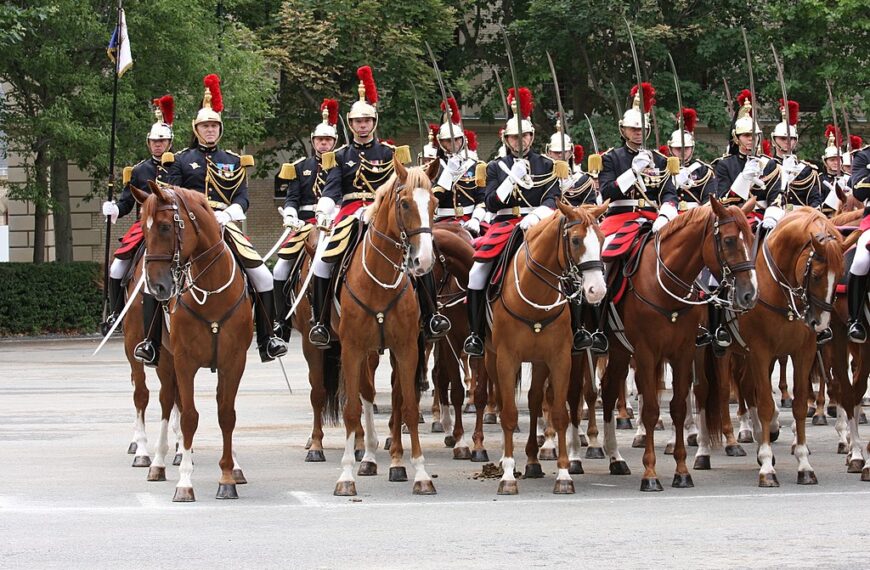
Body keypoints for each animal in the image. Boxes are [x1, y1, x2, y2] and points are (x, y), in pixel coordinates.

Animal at [131, 180, 252, 500]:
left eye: (164, 227)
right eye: (143, 229)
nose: (157, 286)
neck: (212, 292)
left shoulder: (233, 362)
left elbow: (227, 414)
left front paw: (228, 476)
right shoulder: (184, 361)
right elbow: (188, 417)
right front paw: (185, 481)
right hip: (161, 357)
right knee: (161, 400)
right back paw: (156, 461)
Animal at [330, 155, 440, 492]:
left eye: (434, 203)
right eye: (404, 204)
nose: (423, 261)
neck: (378, 281)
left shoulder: (406, 348)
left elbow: (409, 406)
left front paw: (420, 472)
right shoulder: (352, 348)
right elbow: (352, 409)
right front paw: (346, 475)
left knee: (395, 396)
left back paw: (394, 461)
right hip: (365, 351)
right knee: (366, 394)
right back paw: (367, 456)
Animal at [480, 201, 608, 492]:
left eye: (602, 239)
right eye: (575, 240)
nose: (597, 290)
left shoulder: (559, 358)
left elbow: (560, 413)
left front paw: (563, 474)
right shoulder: (507, 359)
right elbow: (509, 414)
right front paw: (507, 476)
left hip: (539, 362)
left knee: (535, 399)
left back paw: (532, 461)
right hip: (492, 358)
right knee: (502, 401)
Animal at [600, 195, 756, 488]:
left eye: (752, 238)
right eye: (729, 240)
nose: (749, 294)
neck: (664, 282)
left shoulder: (683, 351)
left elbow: (680, 407)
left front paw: (682, 471)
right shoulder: (646, 352)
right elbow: (651, 409)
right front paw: (650, 474)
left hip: (619, 349)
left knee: (607, 390)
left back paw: (615, 459)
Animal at [708, 209, 852, 484]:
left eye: (840, 276)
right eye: (816, 275)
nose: (820, 324)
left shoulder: (803, 352)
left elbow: (799, 404)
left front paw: (804, 463)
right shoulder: (760, 352)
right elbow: (764, 403)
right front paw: (766, 466)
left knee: (746, 387)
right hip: (721, 352)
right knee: (718, 391)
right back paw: (721, 444)